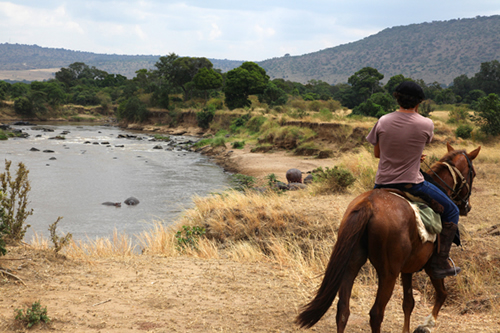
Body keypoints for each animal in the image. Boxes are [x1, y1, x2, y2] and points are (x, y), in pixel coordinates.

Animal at [296, 143, 480, 332]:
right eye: (472, 173)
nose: (467, 207)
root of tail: (368, 204)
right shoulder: (430, 266)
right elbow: (441, 294)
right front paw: (427, 324)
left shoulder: (408, 268)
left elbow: (408, 303)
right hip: (388, 273)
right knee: (376, 314)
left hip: (351, 264)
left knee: (343, 310)